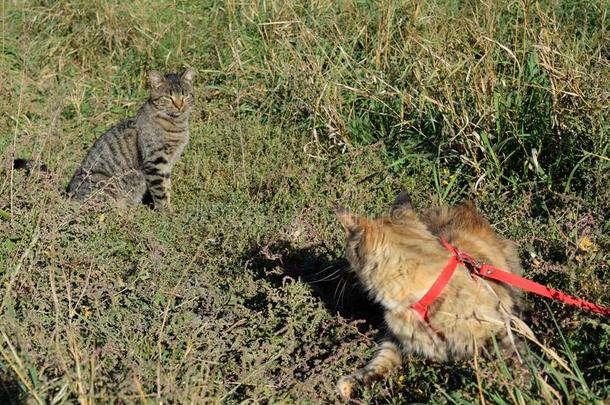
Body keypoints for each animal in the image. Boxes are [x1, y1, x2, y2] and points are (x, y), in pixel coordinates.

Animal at [332, 192, 524, 398]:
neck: (421, 302)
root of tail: (466, 207)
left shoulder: (501, 332)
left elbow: (519, 366)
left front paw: (521, 389)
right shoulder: (397, 339)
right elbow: (380, 361)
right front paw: (353, 382)